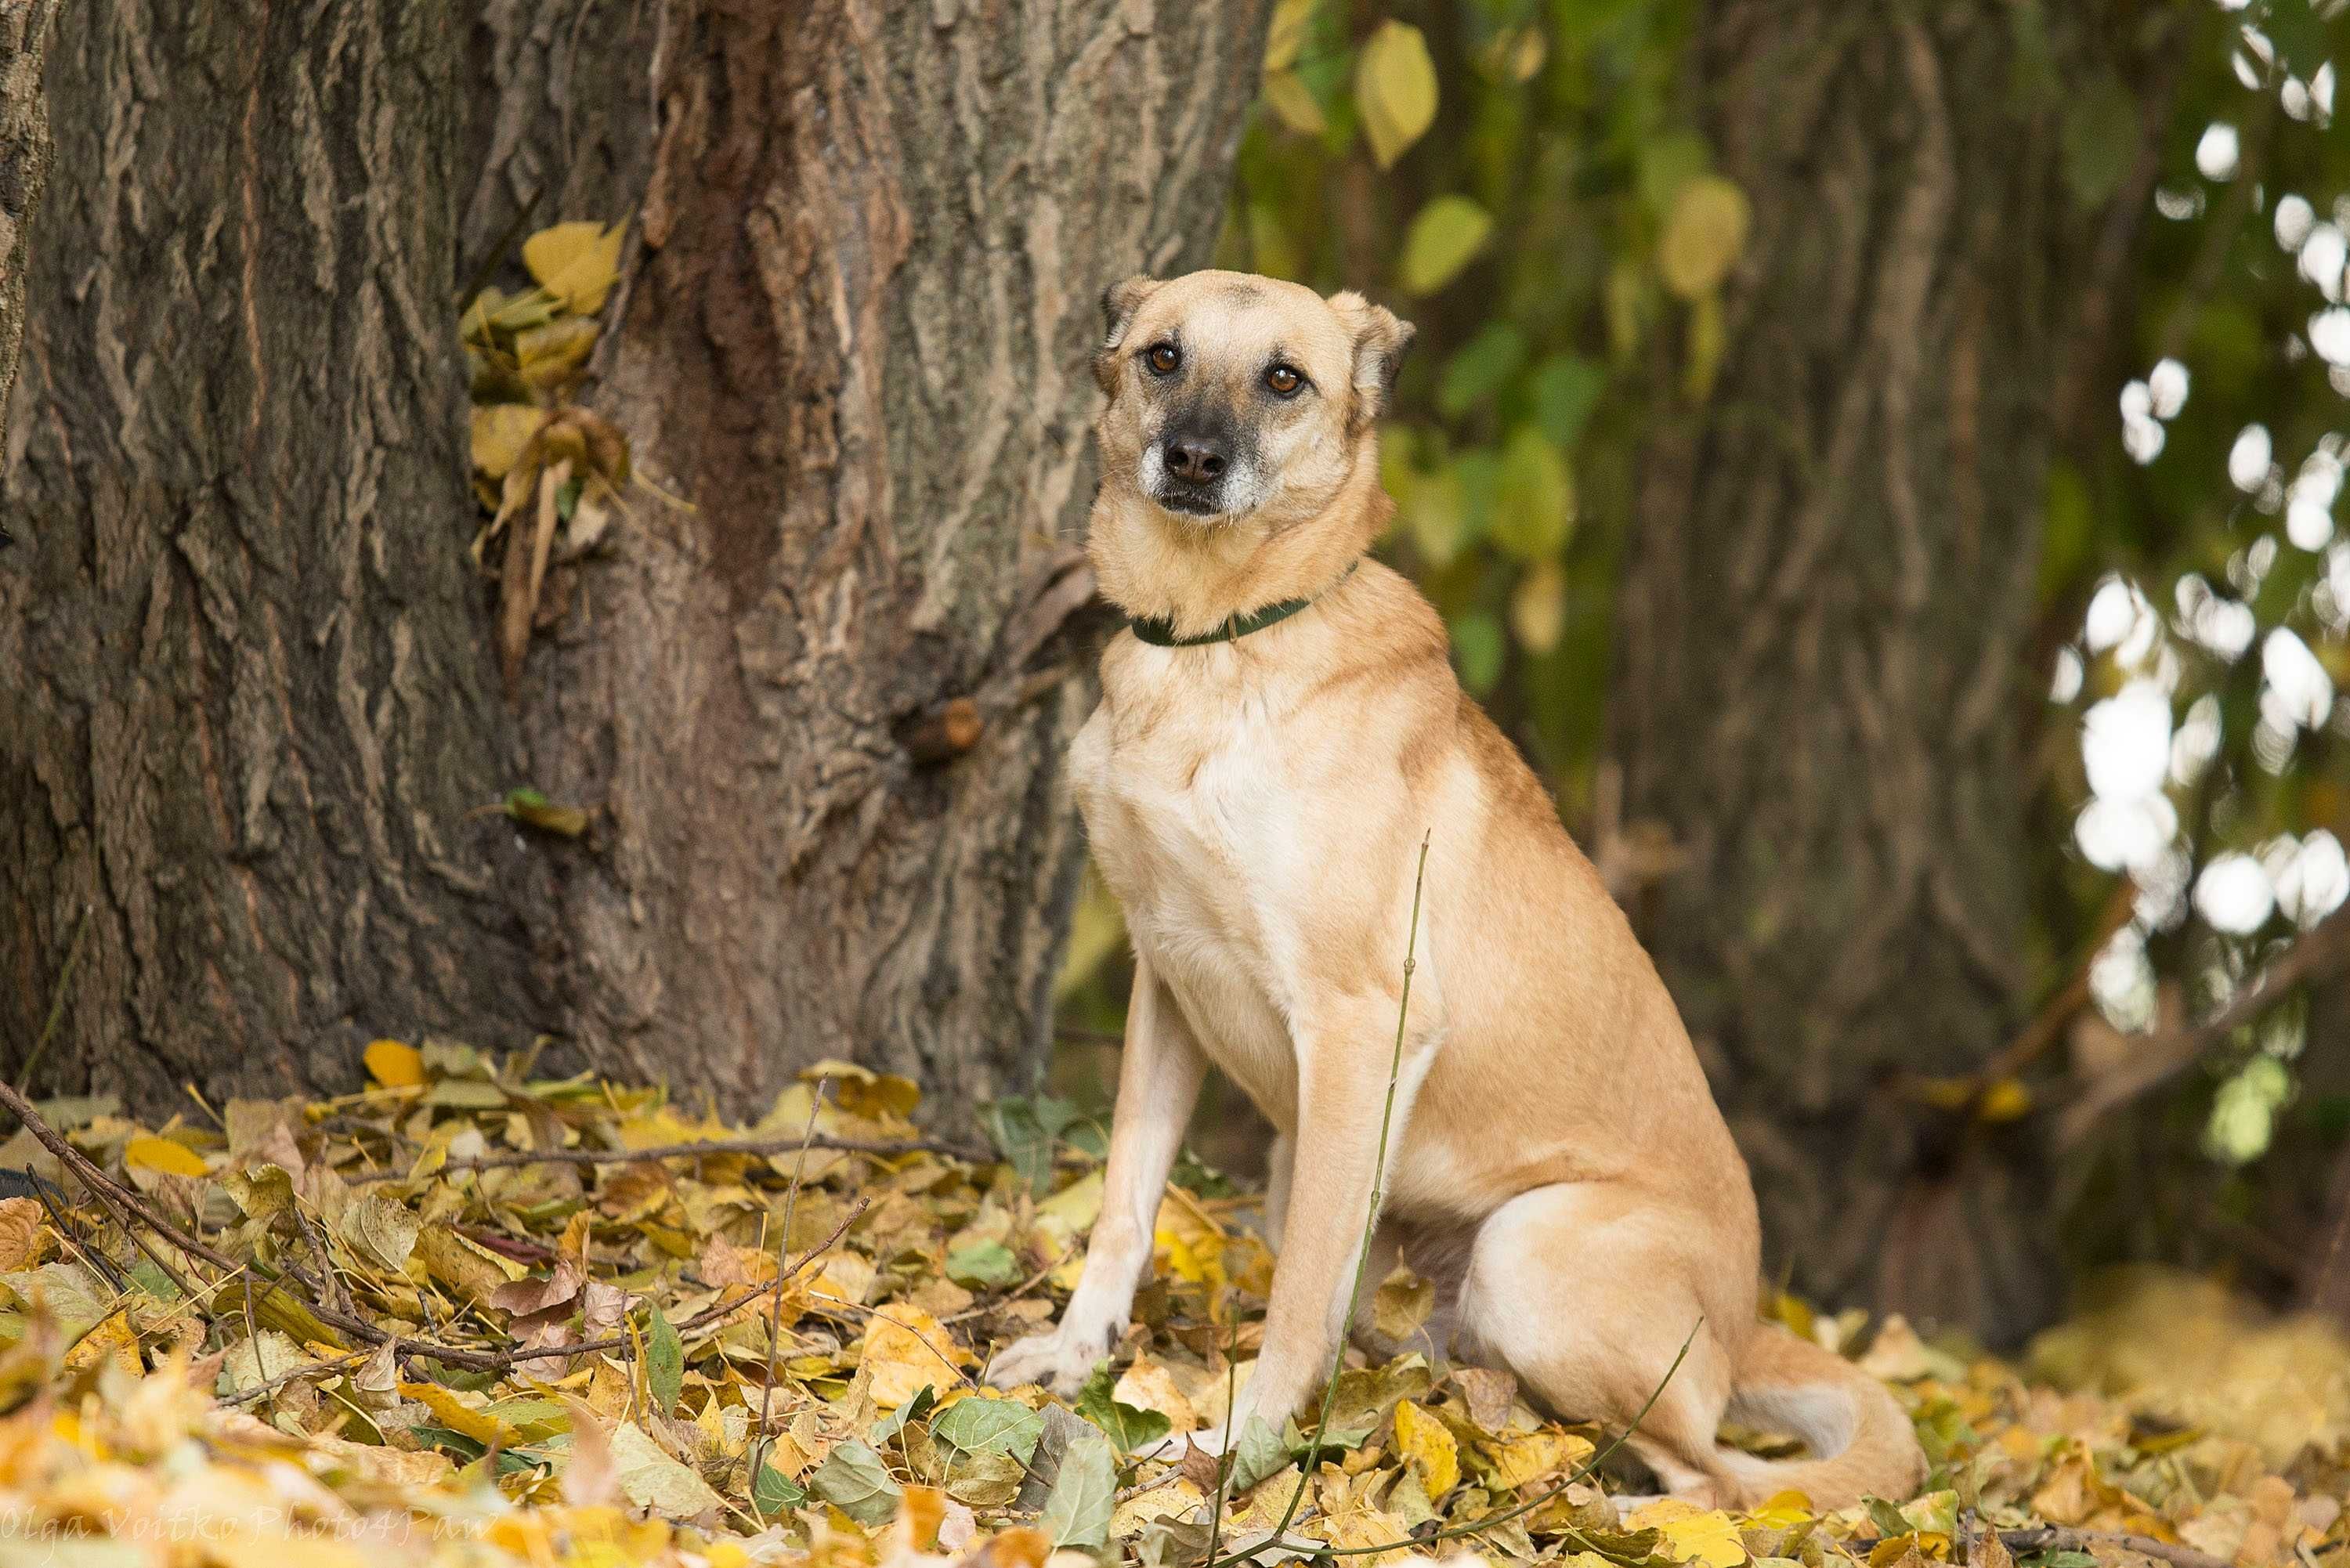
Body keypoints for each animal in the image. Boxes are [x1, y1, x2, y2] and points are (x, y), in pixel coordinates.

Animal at [992, 270, 1927, 1504]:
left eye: (1283, 378)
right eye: (1162, 357)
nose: (1191, 458)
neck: (1217, 643)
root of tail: (1742, 1324)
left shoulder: (1358, 1021)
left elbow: (1297, 1298)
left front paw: (1237, 1450)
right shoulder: (1167, 983)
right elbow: (1123, 1208)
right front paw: (1078, 1350)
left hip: (1527, 1253)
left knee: (1714, 1481)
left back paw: (1589, 1501)